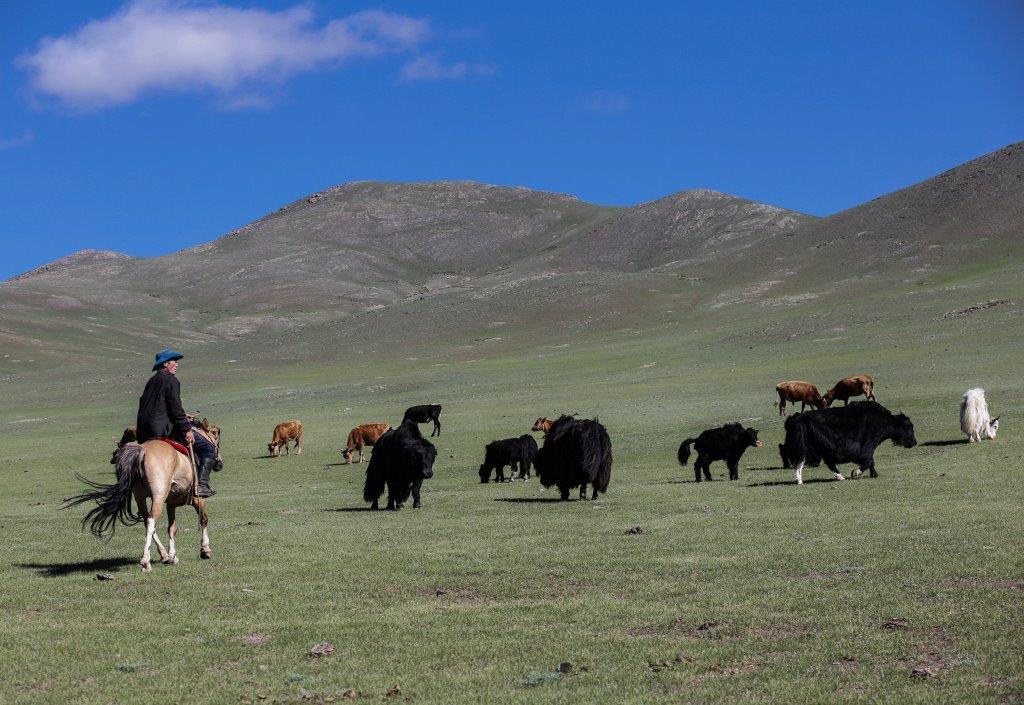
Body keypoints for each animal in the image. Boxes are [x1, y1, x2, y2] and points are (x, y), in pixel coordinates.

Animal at [65, 440, 212, 573]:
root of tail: (143, 451)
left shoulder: (171, 505)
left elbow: (172, 528)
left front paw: (172, 555)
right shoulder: (197, 500)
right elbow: (203, 519)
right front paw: (205, 549)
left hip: (140, 496)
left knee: (147, 522)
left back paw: (163, 555)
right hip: (159, 495)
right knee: (151, 521)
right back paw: (146, 562)